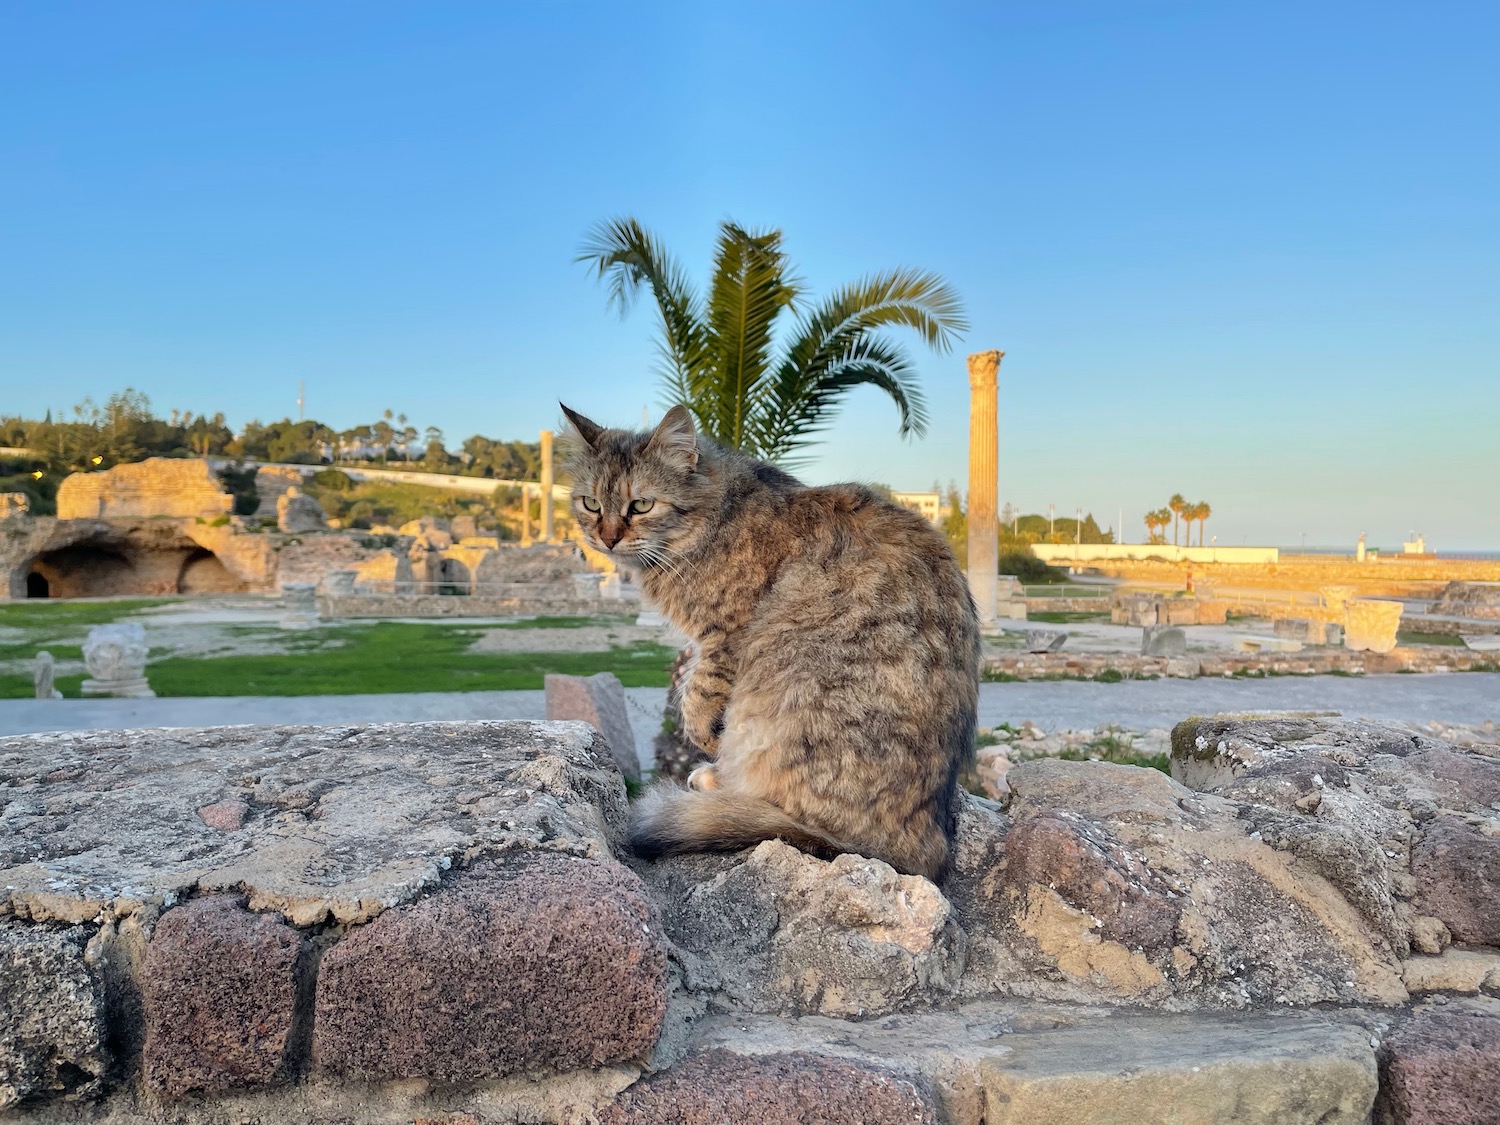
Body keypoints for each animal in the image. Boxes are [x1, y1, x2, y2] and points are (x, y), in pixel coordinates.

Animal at [558, 402, 978, 888]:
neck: (717, 515)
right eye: (591, 504)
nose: (606, 539)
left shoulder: (726, 636)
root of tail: (926, 850)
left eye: (641, 505)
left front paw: (702, 734)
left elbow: (697, 693)